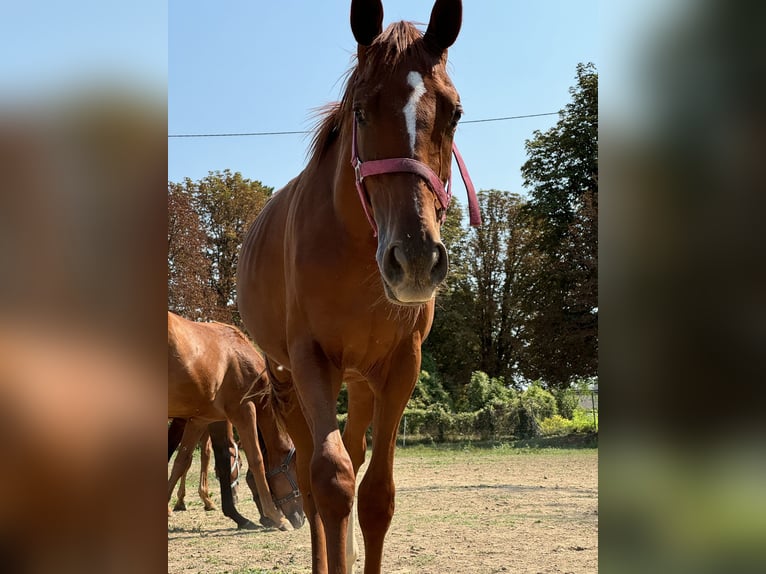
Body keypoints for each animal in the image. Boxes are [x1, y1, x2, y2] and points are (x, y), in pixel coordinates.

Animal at [169, 312, 306, 532]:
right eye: (296, 474)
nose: (301, 519)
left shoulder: (201, 420)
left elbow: (182, 461)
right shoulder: (244, 411)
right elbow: (256, 460)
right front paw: (276, 517)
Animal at [240, 1, 480, 572]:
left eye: (455, 113)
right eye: (362, 112)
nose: (415, 259)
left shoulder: (400, 365)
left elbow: (375, 495)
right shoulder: (311, 361)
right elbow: (330, 483)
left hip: (362, 382)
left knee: (350, 457)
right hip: (289, 386)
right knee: (309, 481)